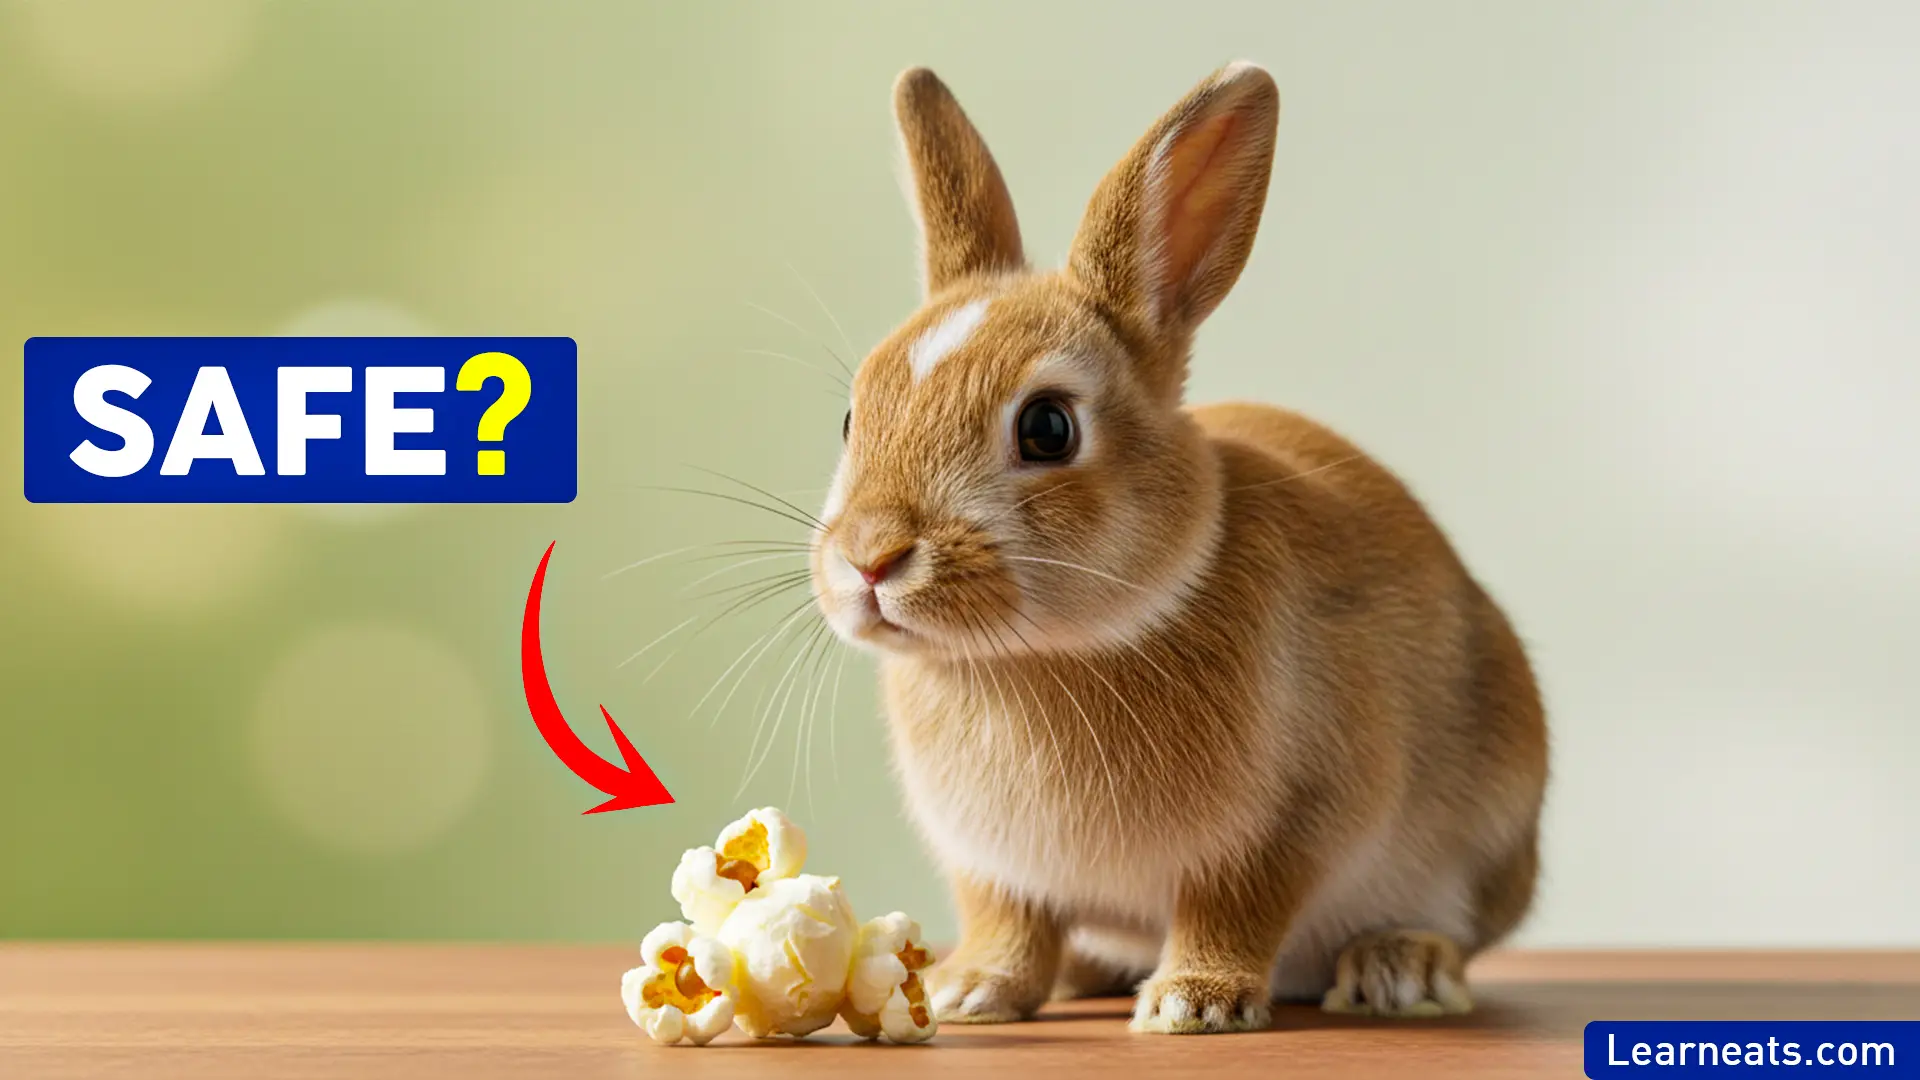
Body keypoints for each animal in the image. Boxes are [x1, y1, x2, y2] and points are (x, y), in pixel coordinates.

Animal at [807, 61, 1548, 1035]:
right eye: (853, 417)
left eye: (1048, 428)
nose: (871, 557)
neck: (1035, 658)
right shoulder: (995, 869)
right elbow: (1010, 924)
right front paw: (972, 992)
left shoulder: (1283, 828)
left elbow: (1232, 908)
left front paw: (1195, 1003)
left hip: (1485, 836)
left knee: (1459, 934)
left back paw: (1400, 971)